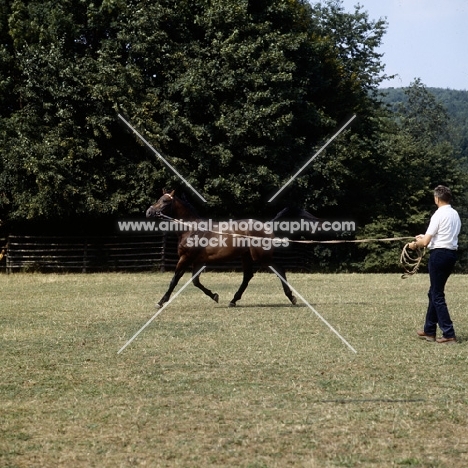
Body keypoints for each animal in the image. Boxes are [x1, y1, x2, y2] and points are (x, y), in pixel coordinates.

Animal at [145, 189, 296, 308]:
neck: (191, 230)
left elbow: (174, 280)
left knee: (279, 270)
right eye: (159, 199)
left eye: (165, 201)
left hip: (262, 257)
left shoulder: (185, 258)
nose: (149, 212)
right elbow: (195, 282)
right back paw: (233, 301)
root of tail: (267, 225)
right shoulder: (197, 261)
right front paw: (214, 296)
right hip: (246, 256)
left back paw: (292, 297)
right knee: (248, 276)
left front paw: (160, 302)